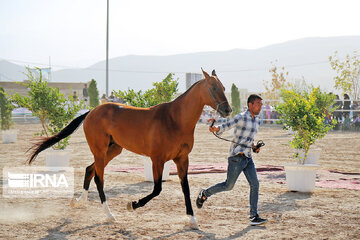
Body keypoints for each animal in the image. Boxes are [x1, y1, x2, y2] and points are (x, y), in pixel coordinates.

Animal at [27, 68, 231, 229]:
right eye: (213, 88)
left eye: (224, 87)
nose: (227, 110)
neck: (174, 120)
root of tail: (92, 111)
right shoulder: (157, 160)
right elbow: (157, 189)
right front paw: (132, 204)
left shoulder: (182, 159)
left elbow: (185, 189)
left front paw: (192, 219)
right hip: (100, 150)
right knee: (99, 178)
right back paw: (109, 215)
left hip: (113, 150)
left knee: (89, 170)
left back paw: (78, 202)